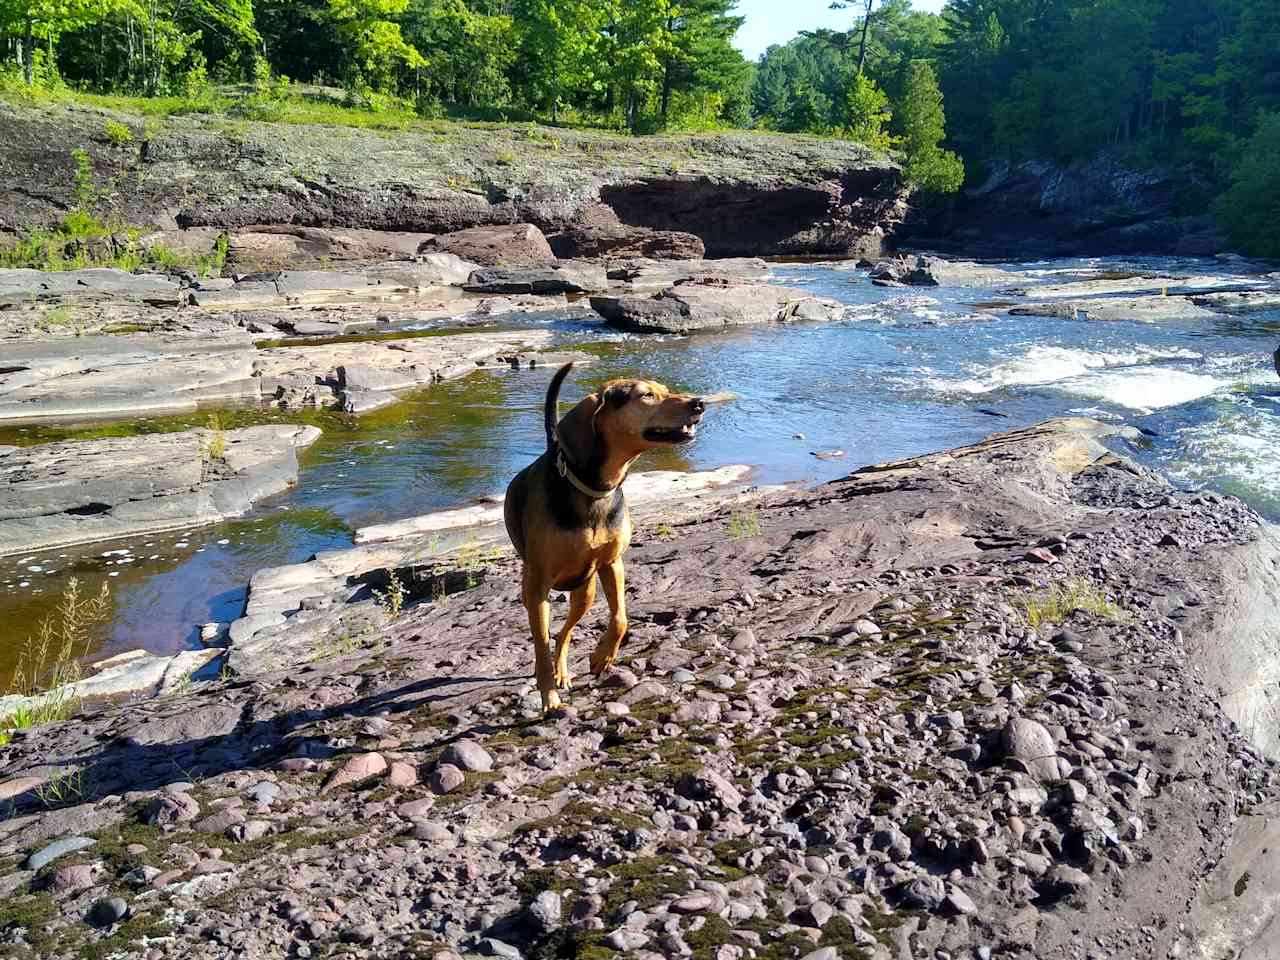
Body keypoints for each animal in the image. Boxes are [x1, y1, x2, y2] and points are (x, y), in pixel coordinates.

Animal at [506, 360, 711, 716]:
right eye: (646, 395)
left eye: (664, 389)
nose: (699, 403)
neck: (593, 489)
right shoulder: (538, 584)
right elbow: (540, 645)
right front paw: (549, 698)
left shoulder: (611, 563)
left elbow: (620, 619)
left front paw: (602, 658)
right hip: (537, 589)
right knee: (549, 635)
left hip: (584, 592)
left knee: (564, 634)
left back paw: (563, 670)